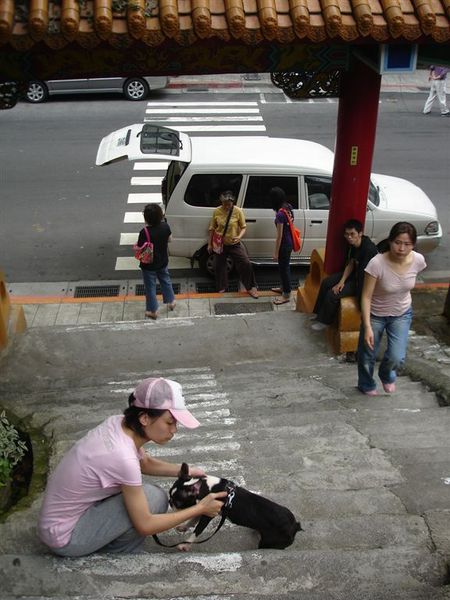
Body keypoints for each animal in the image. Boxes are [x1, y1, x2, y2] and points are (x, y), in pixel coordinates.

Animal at [166, 462, 302, 552]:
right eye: (170, 497)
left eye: (177, 503)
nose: (169, 502)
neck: (207, 487)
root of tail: (294, 525)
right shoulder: (204, 506)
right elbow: (193, 519)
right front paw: (184, 527)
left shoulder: (208, 513)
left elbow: (197, 531)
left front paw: (185, 545)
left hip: (268, 543)